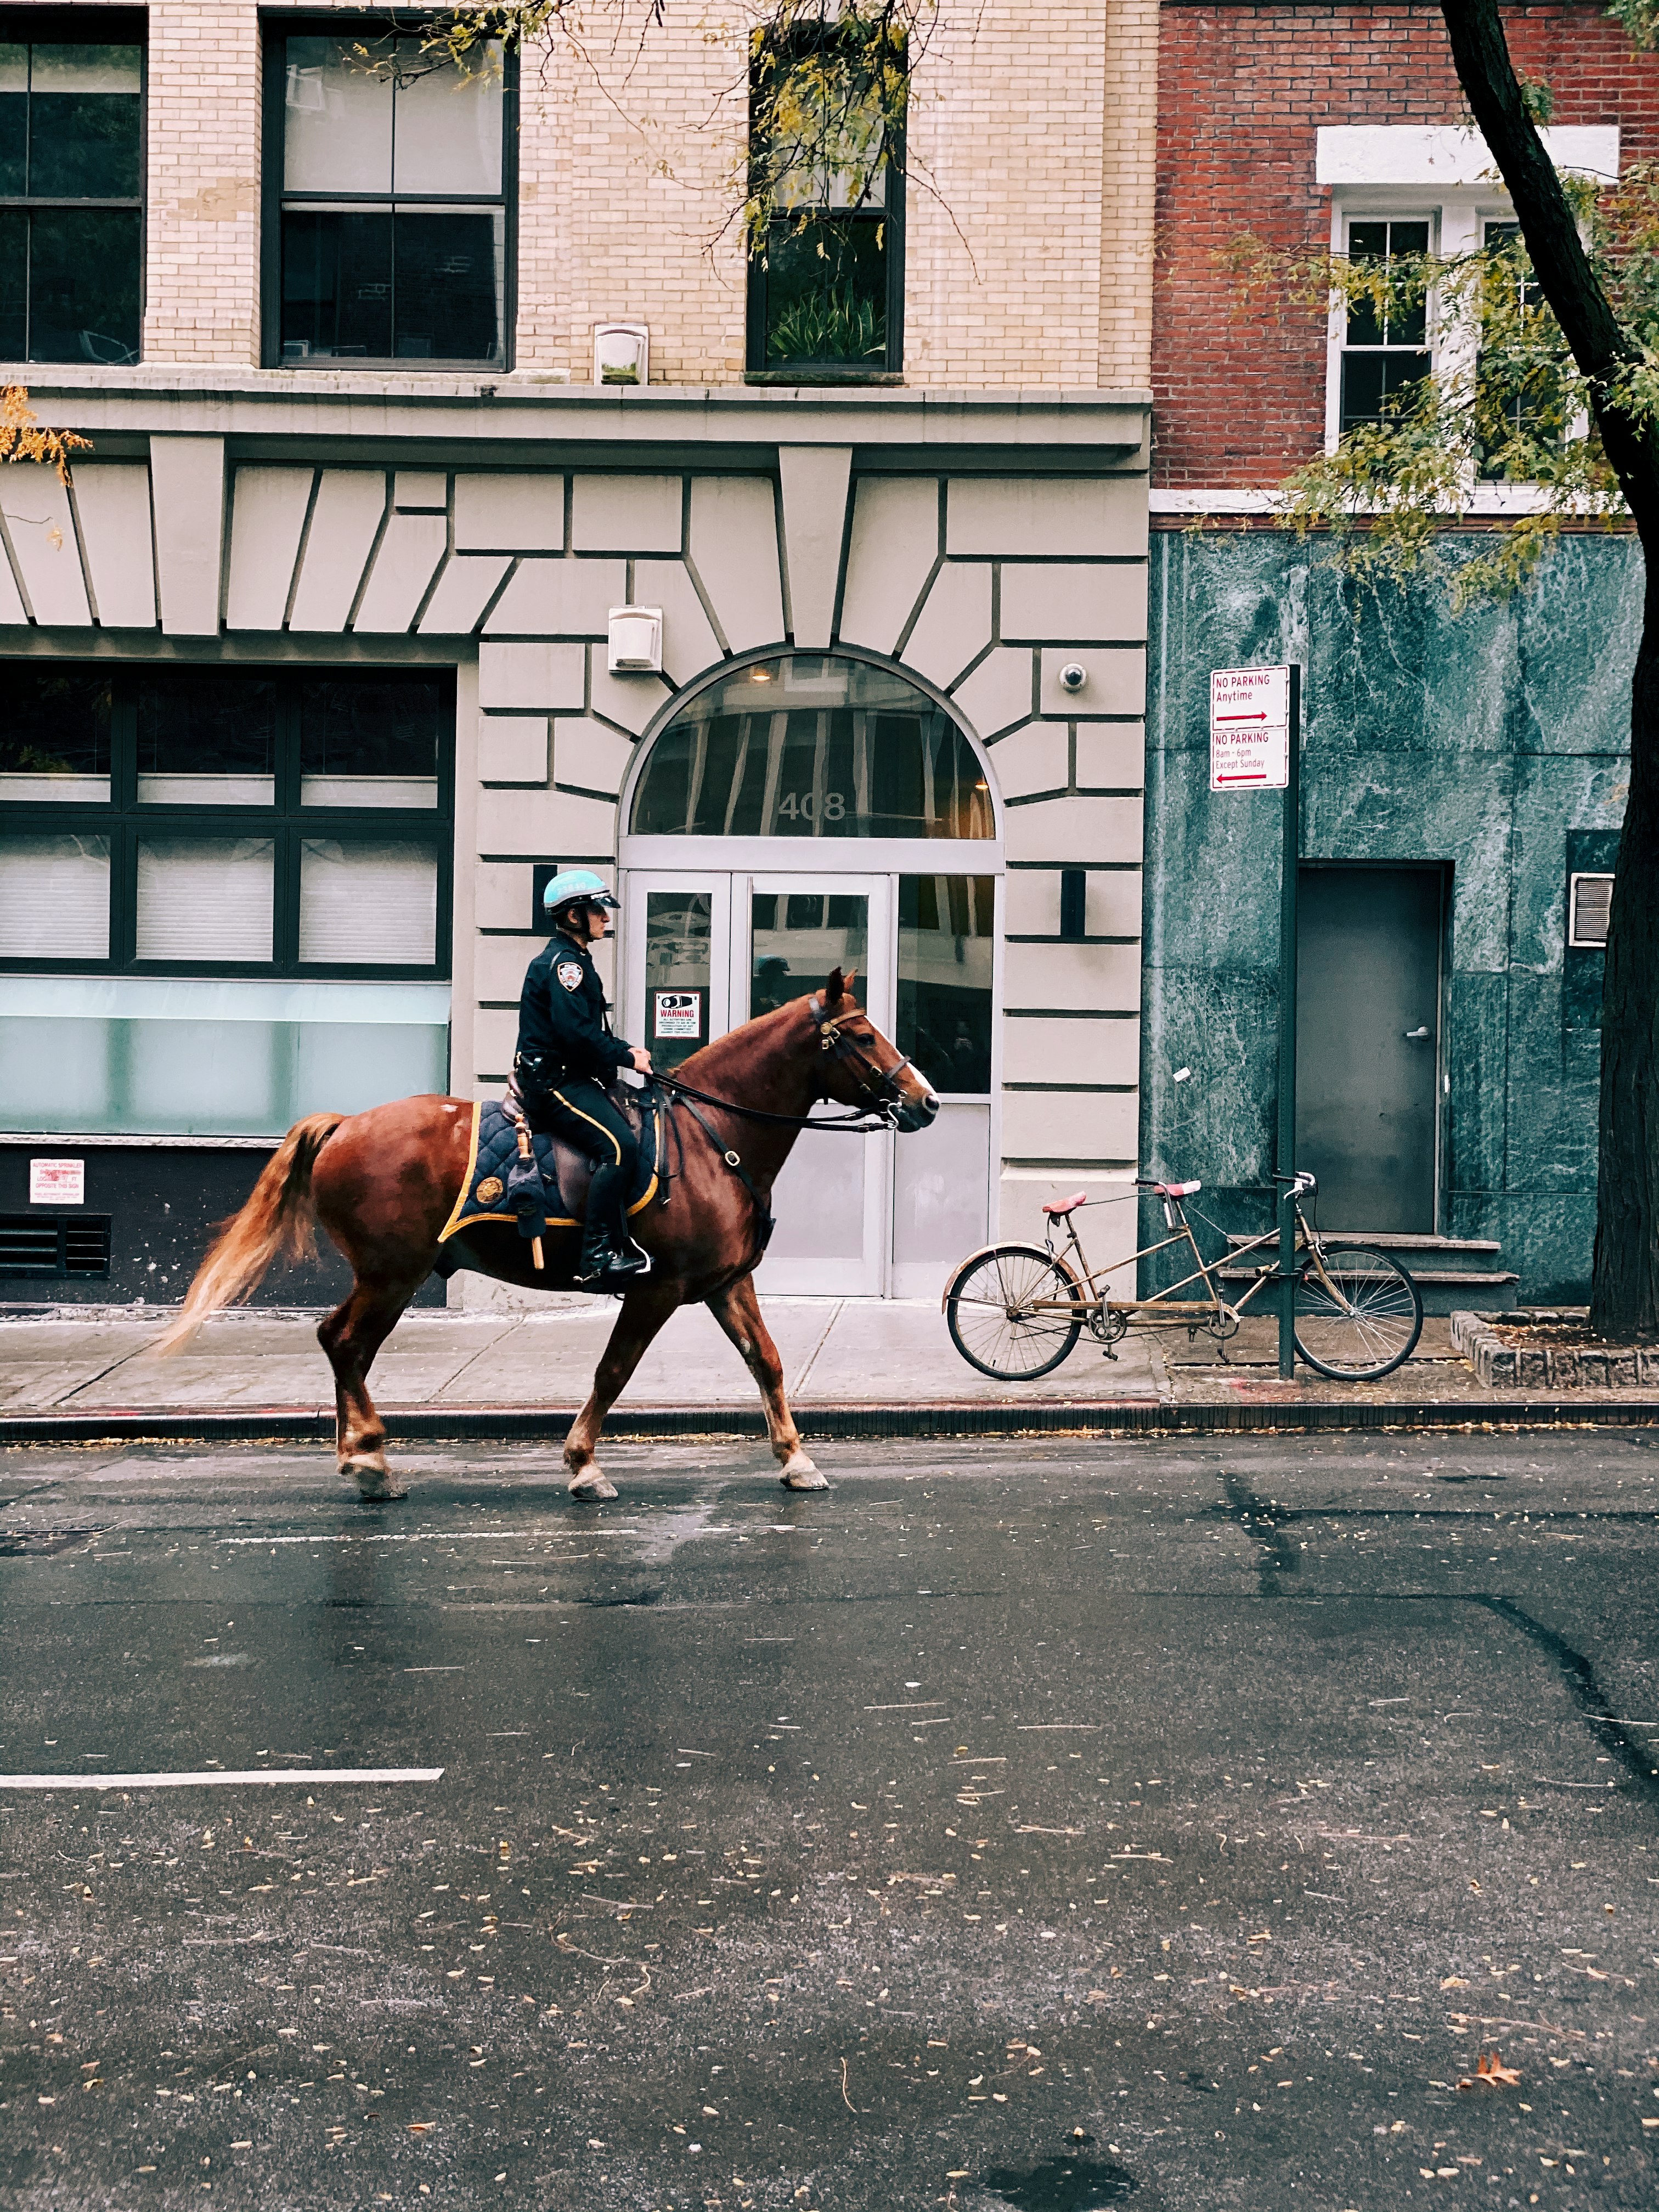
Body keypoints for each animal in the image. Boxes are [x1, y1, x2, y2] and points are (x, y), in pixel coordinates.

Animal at [159, 978, 938, 1513]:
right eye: (862, 1037)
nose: (926, 1101)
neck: (713, 1138)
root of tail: (346, 1124)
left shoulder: (724, 1283)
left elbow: (768, 1363)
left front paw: (796, 1460)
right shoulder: (655, 1288)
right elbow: (613, 1371)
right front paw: (583, 1465)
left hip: (388, 1275)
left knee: (337, 1341)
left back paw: (360, 1455)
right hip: (393, 1274)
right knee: (347, 1344)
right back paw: (371, 1462)